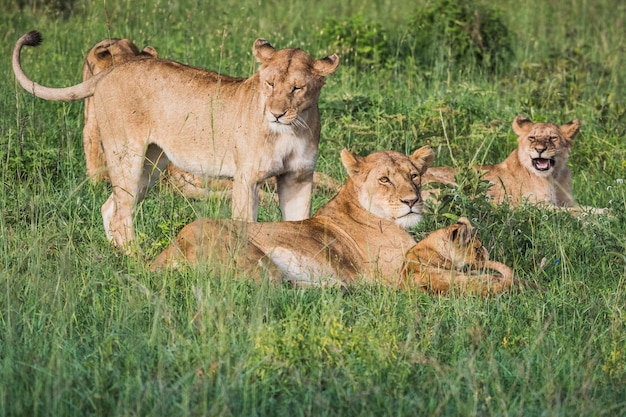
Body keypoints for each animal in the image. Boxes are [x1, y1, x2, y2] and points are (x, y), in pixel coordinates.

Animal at [12, 30, 338, 252]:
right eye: (269, 83)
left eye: (297, 88)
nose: (276, 113)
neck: (291, 131)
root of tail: (114, 69)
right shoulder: (247, 179)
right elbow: (246, 225)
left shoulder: (298, 177)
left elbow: (298, 222)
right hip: (127, 155)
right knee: (121, 215)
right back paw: (137, 261)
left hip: (151, 166)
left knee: (110, 207)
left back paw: (117, 255)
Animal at [422, 115, 604, 216]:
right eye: (532, 138)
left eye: (553, 138)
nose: (540, 149)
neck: (554, 176)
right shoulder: (536, 206)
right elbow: (577, 212)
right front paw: (607, 215)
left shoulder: (566, 201)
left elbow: (586, 208)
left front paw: (605, 211)